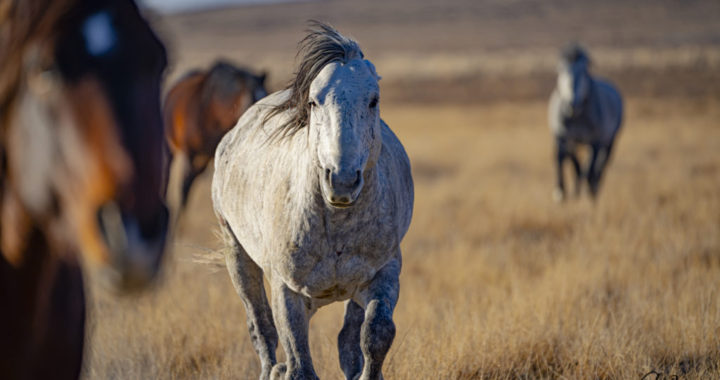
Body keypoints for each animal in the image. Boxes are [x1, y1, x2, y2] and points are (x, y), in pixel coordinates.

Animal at [211, 21, 414, 380]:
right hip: (238, 256)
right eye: (314, 102)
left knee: (348, 340)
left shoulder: (384, 274)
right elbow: (298, 360)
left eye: (373, 100)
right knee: (260, 327)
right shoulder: (286, 291)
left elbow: (376, 335)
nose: (342, 179)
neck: (335, 225)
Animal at [548, 43, 620, 202]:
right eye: (561, 69)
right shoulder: (563, 137)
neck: (577, 115)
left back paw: (593, 187)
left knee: (601, 165)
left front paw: (588, 190)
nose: (571, 103)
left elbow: (591, 168)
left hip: (610, 141)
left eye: (583, 70)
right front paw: (561, 192)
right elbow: (563, 158)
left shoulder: (596, 141)